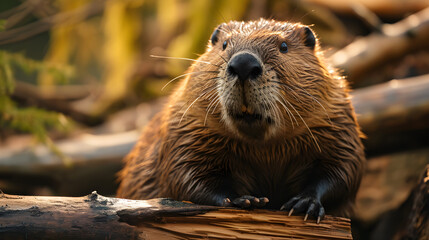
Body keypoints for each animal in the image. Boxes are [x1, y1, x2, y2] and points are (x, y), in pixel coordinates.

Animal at [116, 18, 364, 221]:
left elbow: (346, 167)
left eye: (283, 46)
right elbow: (182, 174)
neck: (264, 147)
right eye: (225, 44)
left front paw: (305, 203)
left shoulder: (336, 120)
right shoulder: (186, 125)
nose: (243, 63)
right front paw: (244, 199)